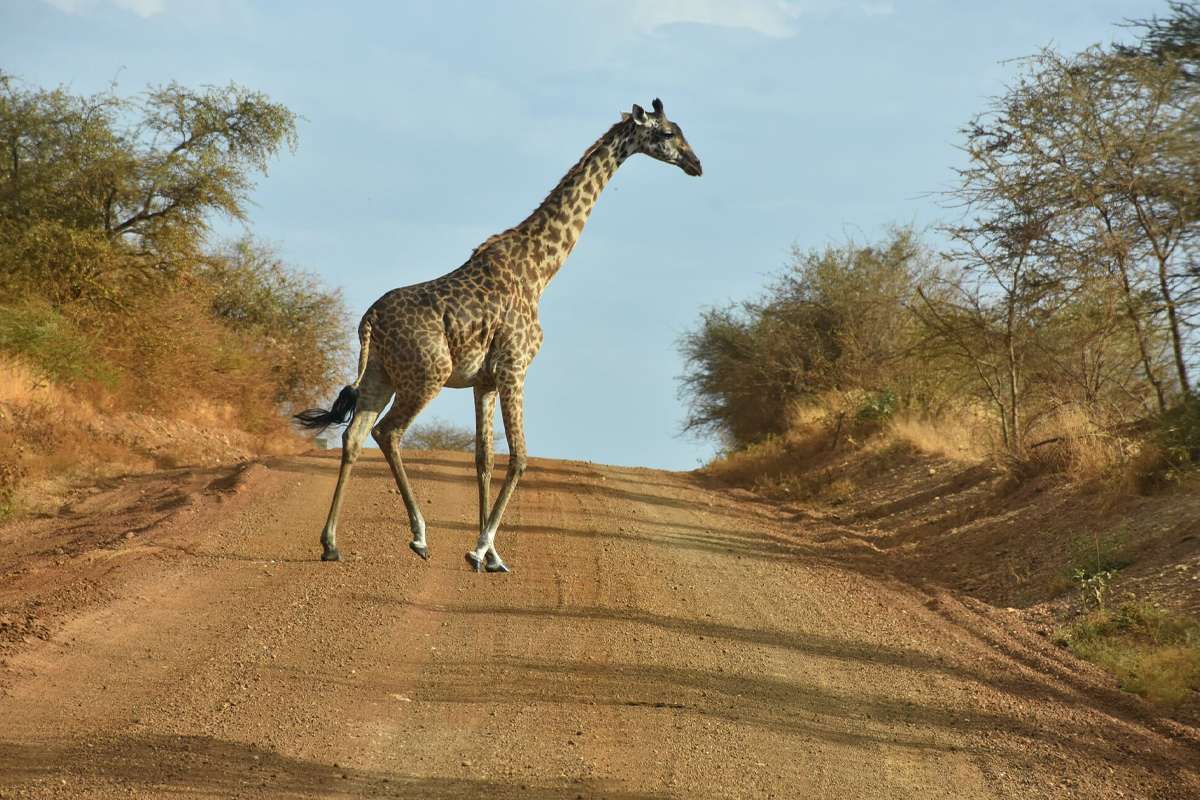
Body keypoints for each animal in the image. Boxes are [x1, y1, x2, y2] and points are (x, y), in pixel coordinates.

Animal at [292, 100, 700, 573]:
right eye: (668, 133)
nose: (696, 164)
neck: (540, 268)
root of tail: (368, 321)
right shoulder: (514, 367)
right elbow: (520, 456)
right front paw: (480, 547)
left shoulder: (484, 381)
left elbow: (483, 458)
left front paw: (493, 556)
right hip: (427, 374)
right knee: (388, 433)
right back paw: (419, 536)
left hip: (380, 375)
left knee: (354, 436)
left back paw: (330, 544)